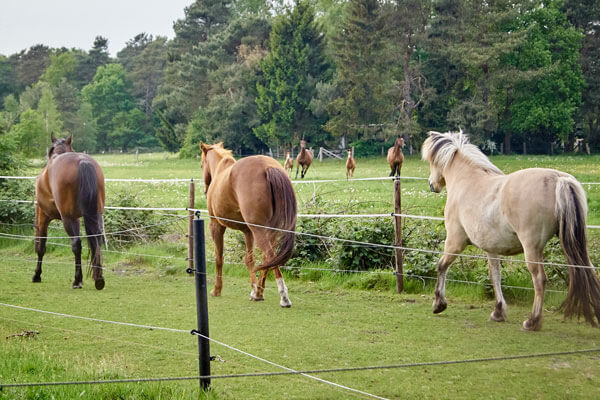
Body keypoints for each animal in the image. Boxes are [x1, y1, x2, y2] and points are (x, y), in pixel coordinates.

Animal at [33, 134, 105, 290]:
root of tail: (83, 162)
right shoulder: (77, 219)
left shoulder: (43, 216)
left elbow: (41, 246)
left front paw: (37, 275)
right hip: (95, 215)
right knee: (97, 240)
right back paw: (99, 278)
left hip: (67, 219)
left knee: (76, 244)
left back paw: (77, 281)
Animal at [200, 141, 296, 306]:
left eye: (201, 165)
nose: (206, 191)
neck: (221, 171)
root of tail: (267, 167)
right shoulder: (248, 231)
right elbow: (249, 259)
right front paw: (254, 289)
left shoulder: (216, 226)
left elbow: (219, 258)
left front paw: (217, 290)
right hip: (269, 230)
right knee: (268, 258)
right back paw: (259, 293)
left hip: (259, 230)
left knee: (270, 255)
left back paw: (283, 296)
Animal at [422, 130, 600, 330]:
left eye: (431, 162)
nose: (432, 184)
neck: (468, 181)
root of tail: (559, 179)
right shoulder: (491, 249)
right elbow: (495, 276)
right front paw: (498, 311)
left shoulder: (455, 242)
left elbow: (441, 266)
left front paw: (439, 303)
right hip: (576, 244)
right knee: (590, 271)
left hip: (532, 248)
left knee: (539, 279)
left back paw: (532, 321)